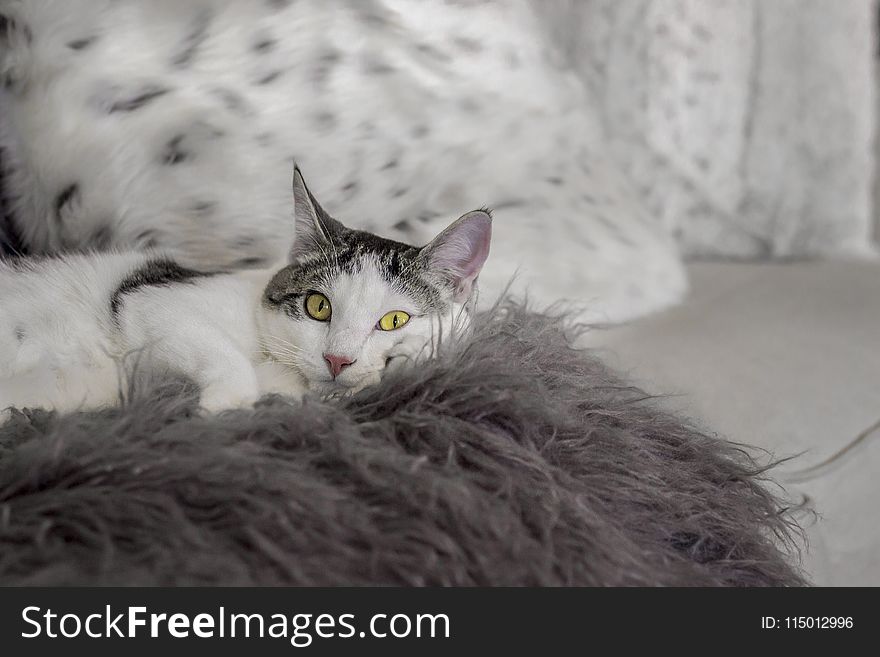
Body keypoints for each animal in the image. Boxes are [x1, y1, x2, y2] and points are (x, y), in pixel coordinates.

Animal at [0, 167, 496, 418]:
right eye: (318, 306)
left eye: (394, 320)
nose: (338, 360)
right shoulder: (149, 298)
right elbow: (216, 349)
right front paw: (229, 403)